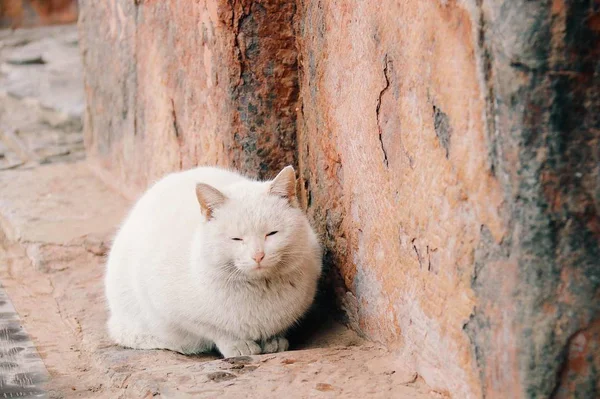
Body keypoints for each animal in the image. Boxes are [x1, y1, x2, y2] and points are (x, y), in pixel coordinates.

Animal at [105, 164, 322, 358]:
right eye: (236, 239)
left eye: (272, 233)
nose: (258, 255)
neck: (259, 289)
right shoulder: (171, 310)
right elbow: (216, 331)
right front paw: (238, 345)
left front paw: (274, 340)